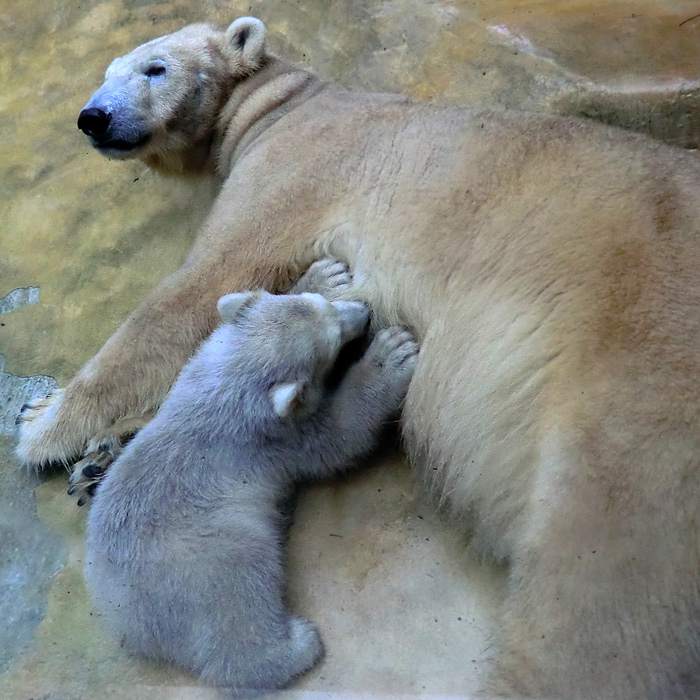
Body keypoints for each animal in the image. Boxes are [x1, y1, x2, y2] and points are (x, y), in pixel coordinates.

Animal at [85, 262, 418, 688]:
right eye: (332, 342)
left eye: (323, 305)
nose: (364, 312)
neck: (225, 385)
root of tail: (120, 612)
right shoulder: (275, 440)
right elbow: (337, 436)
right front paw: (392, 354)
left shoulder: (198, 365)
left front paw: (326, 274)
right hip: (205, 554)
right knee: (241, 587)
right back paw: (295, 646)